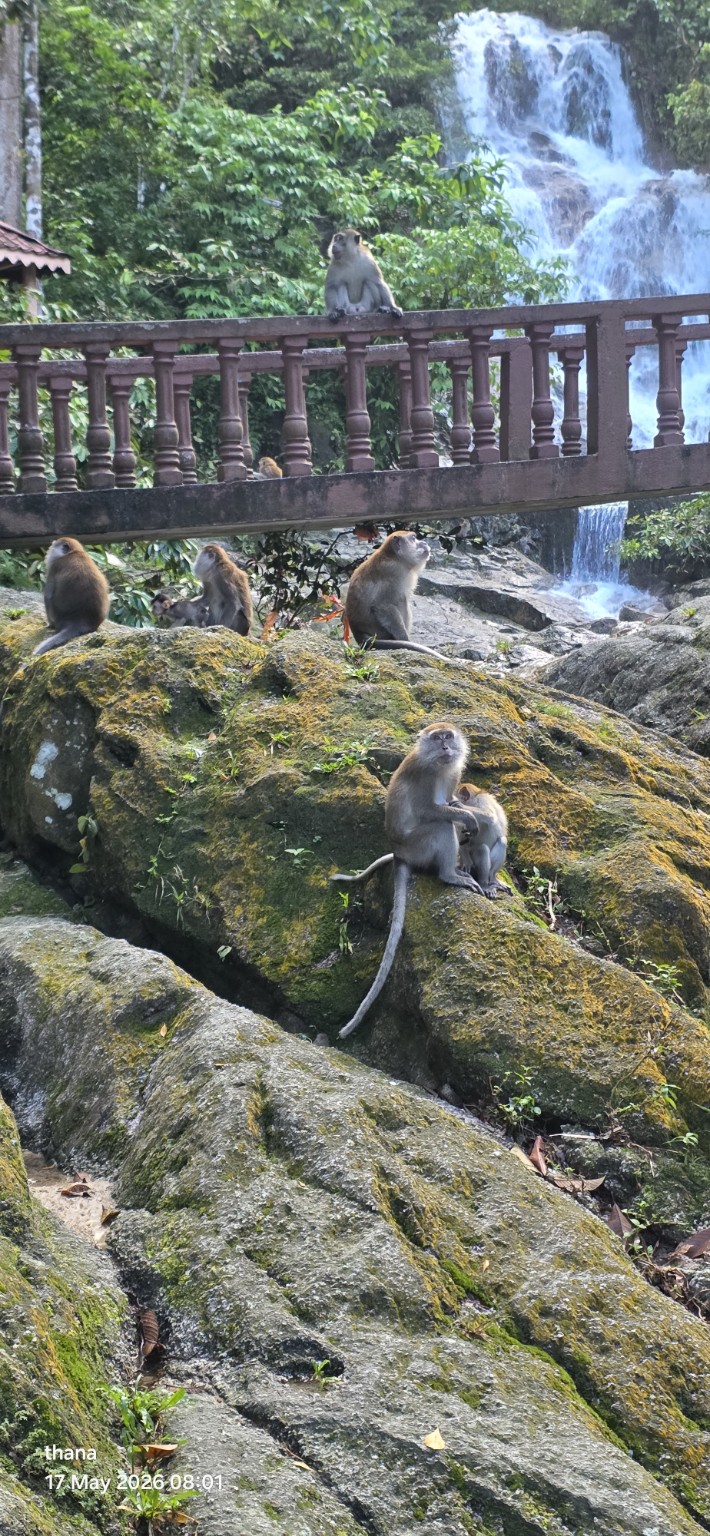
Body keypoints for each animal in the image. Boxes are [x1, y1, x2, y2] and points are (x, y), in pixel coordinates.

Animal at [331, 724, 483, 1038]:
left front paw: (463, 811)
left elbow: (450, 801)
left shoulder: (452, 772)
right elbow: (431, 810)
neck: (439, 766)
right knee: (441, 826)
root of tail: (400, 854)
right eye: (437, 739)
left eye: (448, 737)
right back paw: (450, 874)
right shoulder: (424, 776)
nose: (445, 747)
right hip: (419, 846)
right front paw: (468, 816)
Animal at [345, 530, 455, 663]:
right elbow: (383, 605)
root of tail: (359, 634)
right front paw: (405, 640)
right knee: (401, 600)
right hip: (380, 631)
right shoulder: (394, 571)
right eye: (413, 538)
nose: (424, 542)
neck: (395, 557)